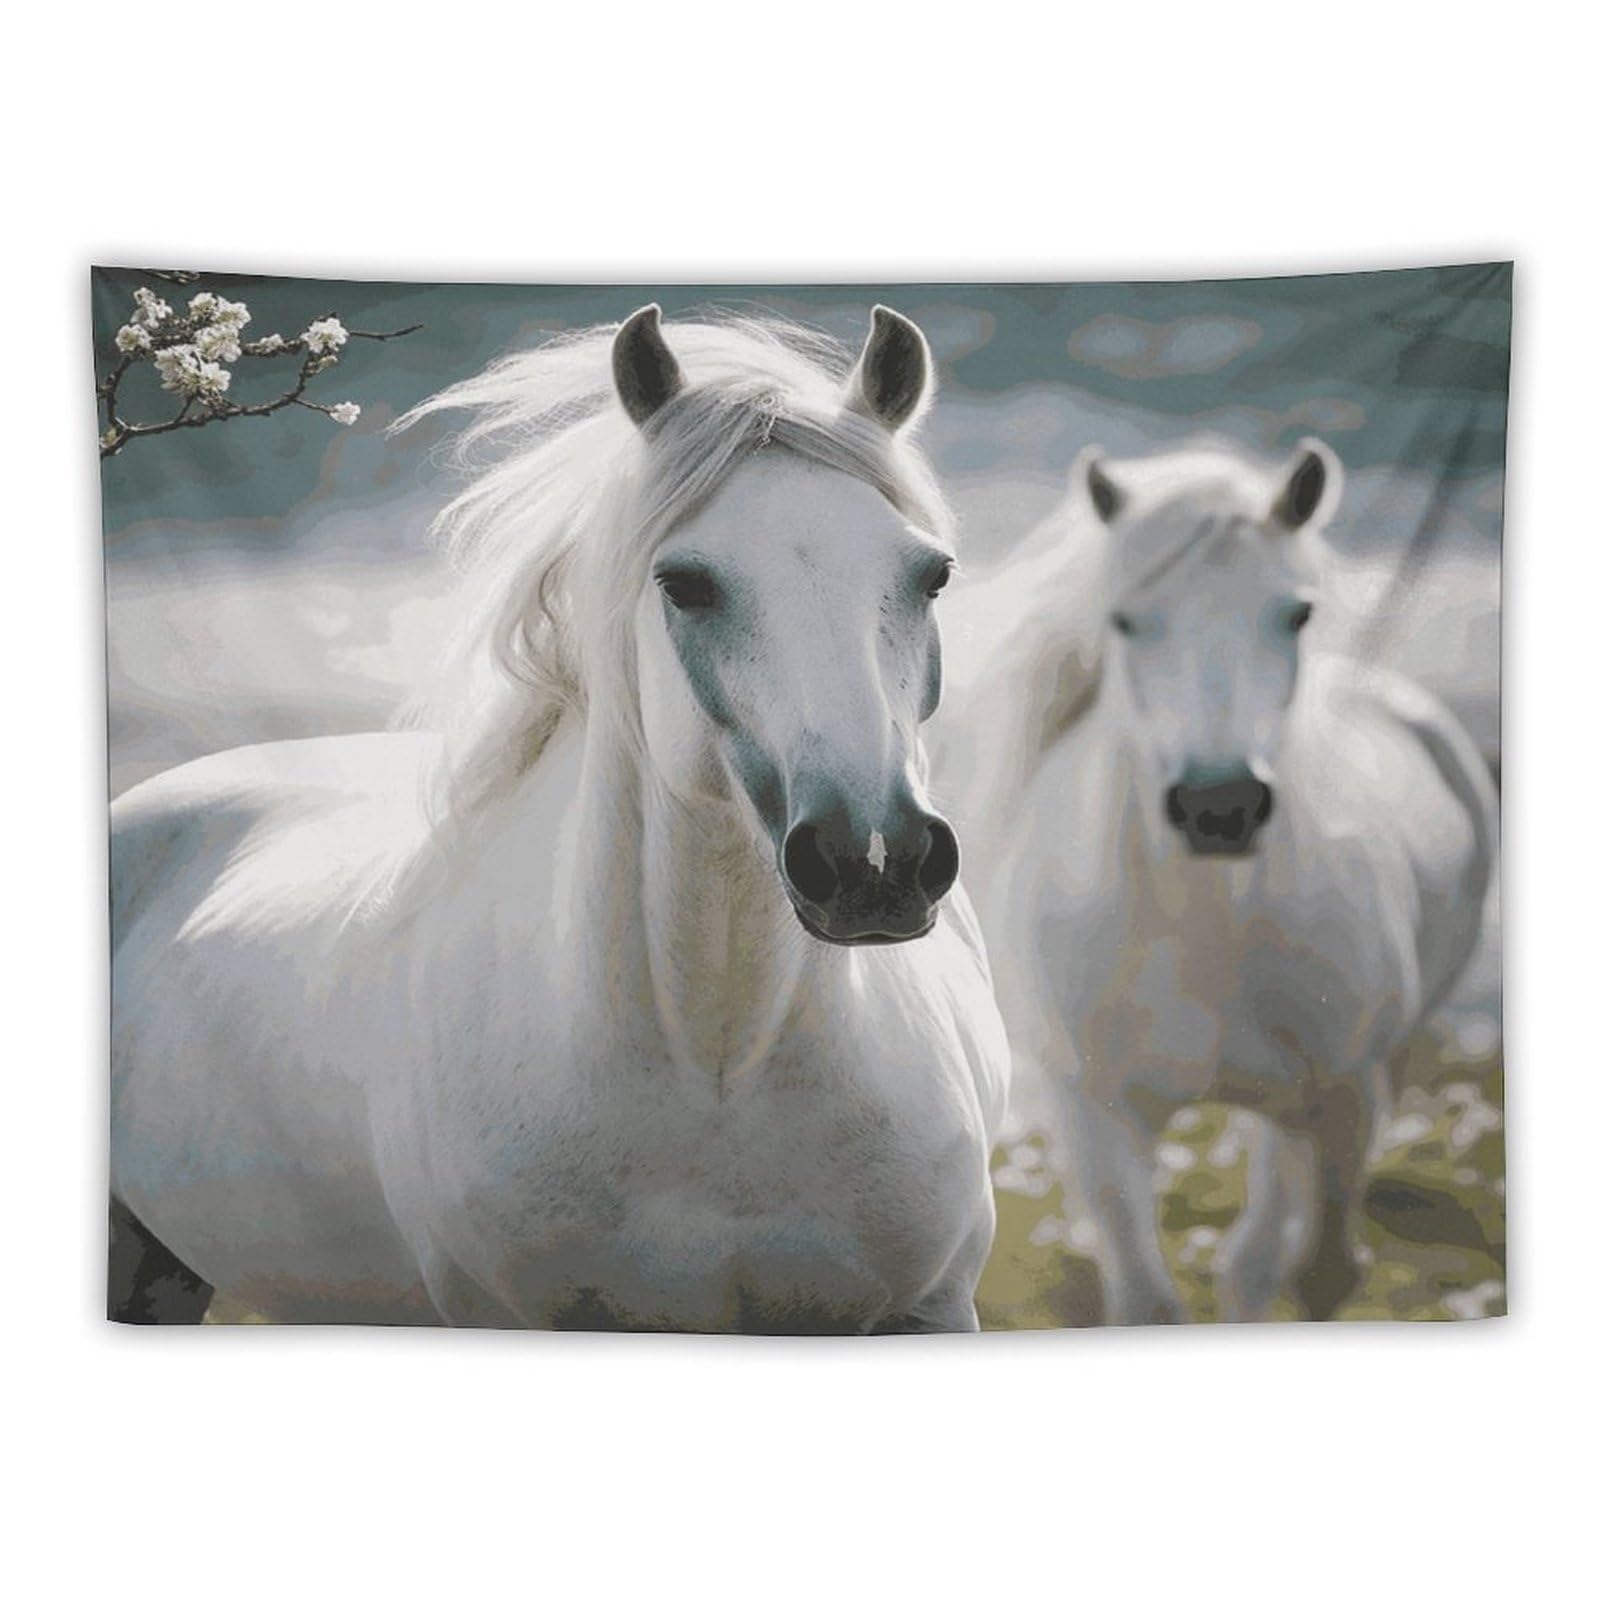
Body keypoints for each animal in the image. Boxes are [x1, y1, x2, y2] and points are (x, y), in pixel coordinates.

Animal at [935, 437, 1496, 1323]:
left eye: (1295, 615)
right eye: (1125, 620)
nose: (1219, 806)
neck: (1201, 934)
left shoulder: (1344, 1100)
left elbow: (1317, 1273)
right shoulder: (1095, 1120)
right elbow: (1147, 1300)